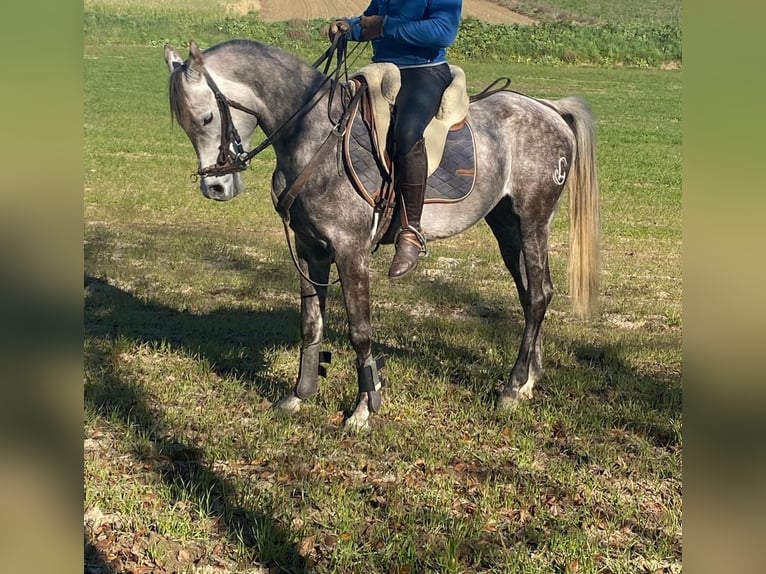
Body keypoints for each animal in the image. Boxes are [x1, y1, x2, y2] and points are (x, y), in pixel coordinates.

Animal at [165, 39, 604, 432]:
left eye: (206, 118)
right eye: (184, 124)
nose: (215, 187)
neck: (314, 135)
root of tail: (548, 108)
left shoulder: (350, 251)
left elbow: (360, 331)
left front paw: (363, 409)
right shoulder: (310, 249)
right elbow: (311, 324)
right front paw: (299, 394)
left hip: (532, 221)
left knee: (541, 294)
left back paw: (512, 389)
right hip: (506, 226)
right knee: (531, 295)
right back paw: (529, 379)